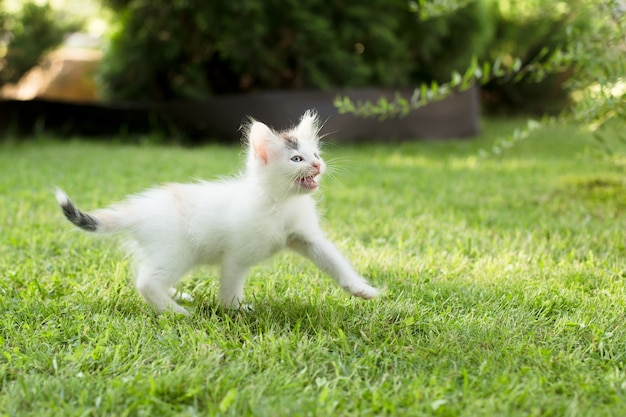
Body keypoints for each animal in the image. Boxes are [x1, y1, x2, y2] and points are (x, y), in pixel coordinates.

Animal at [56, 109, 378, 314]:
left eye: (316, 154)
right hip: (177, 251)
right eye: (297, 159)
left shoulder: (305, 236)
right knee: (146, 281)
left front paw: (361, 290)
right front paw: (235, 310)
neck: (279, 202)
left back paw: (177, 296)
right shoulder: (237, 255)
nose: (318, 165)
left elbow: (333, 260)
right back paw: (177, 313)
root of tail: (139, 209)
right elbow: (231, 284)